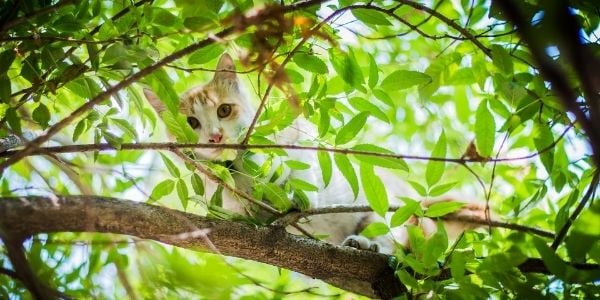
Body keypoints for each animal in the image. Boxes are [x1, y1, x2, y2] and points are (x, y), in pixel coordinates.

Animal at [144, 53, 488, 253]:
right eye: (192, 124)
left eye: (224, 110)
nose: (215, 136)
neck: (238, 166)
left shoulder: (295, 136)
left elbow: (299, 164)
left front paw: (296, 192)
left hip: (386, 210)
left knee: (393, 240)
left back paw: (367, 243)